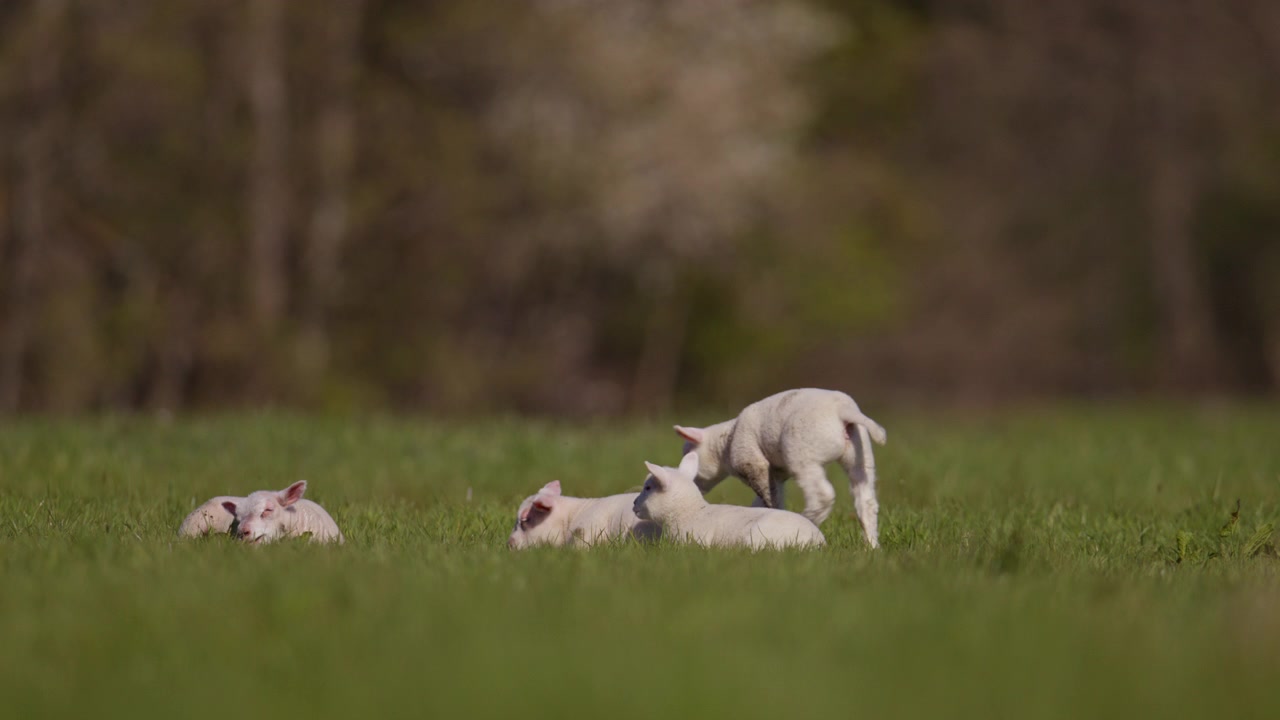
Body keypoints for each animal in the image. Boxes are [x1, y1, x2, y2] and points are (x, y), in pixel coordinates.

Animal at [673, 387, 886, 547]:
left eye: (688, 455)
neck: (726, 442)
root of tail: (843, 411)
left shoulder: (753, 463)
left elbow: (768, 496)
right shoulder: (776, 474)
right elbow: (769, 497)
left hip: (802, 452)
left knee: (822, 495)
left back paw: (809, 519)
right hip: (860, 453)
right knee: (866, 501)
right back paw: (871, 545)